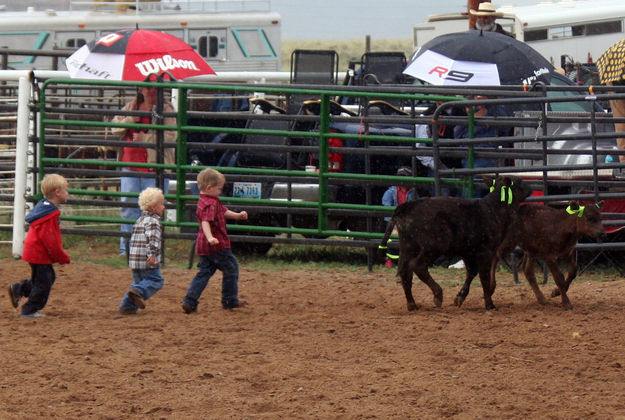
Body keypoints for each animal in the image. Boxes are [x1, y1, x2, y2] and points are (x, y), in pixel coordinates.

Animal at [380, 176, 532, 310]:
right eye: (519, 182)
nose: (530, 187)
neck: (494, 208)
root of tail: (407, 206)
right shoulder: (485, 252)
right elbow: (484, 277)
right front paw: (490, 304)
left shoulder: (468, 252)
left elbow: (471, 273)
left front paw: (459, 298)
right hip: (433, 246)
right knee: (418, 266)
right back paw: (438, 295)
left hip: (408, 246)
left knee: (405, 272)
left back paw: (412, 304)